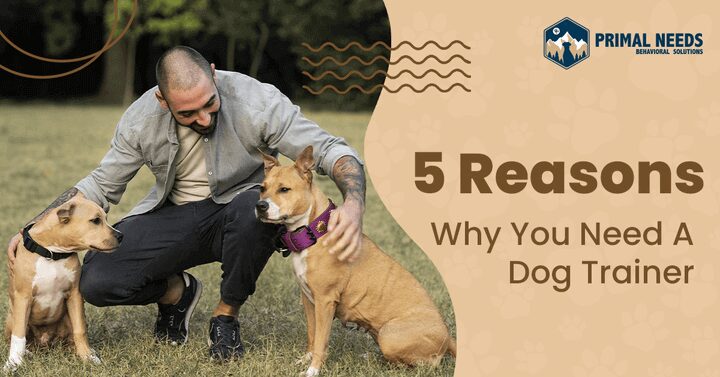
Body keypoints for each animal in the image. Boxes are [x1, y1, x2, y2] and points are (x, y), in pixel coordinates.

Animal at [4, 197, 121, 370]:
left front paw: (87, 356)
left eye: (105, 218)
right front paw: (13, 362)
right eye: (95, 220)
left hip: (67, 318)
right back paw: (27, 353)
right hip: (11, 317)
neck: (52, 254)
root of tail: (45, 342)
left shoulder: (75, 294)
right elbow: (18, 335)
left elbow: (80, 330)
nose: (121, 236)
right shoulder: (22, 297)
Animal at [256, 145, 452, 374]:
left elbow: (321, 340)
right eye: (262, 188)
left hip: (389, 335)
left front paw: (313, 370)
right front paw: (306, 359)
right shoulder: (309, 300)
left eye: (284, 189)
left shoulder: (325, 301)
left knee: (429, 363)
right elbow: (312, 335)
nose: (260, 206)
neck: (314, 232)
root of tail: (448, 337)